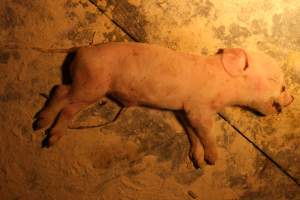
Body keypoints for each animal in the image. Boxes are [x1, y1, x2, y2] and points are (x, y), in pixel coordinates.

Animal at [32, 42, 292, 167]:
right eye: (276, 82)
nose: (289, 100)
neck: (225, 83)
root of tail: (81, 49)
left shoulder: (184, 110)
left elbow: (192, 133)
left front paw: (198, 162)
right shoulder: (199, 109)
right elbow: (206, 133)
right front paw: (213, 159)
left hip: (91, 89)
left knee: (67, 105)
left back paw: (50, 139)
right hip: (91, 84)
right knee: (59, 91)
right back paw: (40, 125)